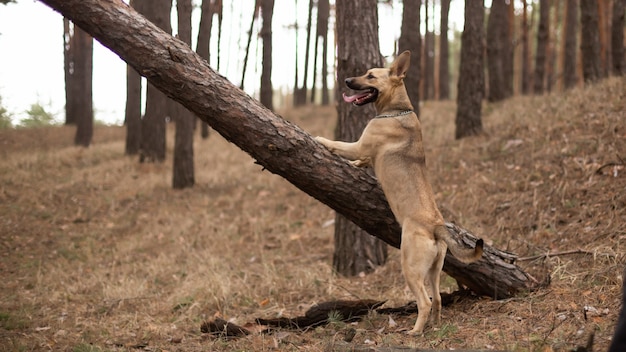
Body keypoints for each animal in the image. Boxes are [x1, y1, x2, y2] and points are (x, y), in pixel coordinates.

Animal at [316, 50, 482, 336]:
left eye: (370, 76)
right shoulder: (365, 152)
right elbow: (361, 161)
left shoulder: (359, 145)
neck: (396, 110)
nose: (346, 80)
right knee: (438, 298)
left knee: (425, 301)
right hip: (435, 269)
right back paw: (434, 326)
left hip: (410, 267)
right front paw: (355, 165)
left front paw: (320, 140)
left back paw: (415, 331)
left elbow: (338, 144)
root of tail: (435, 227)